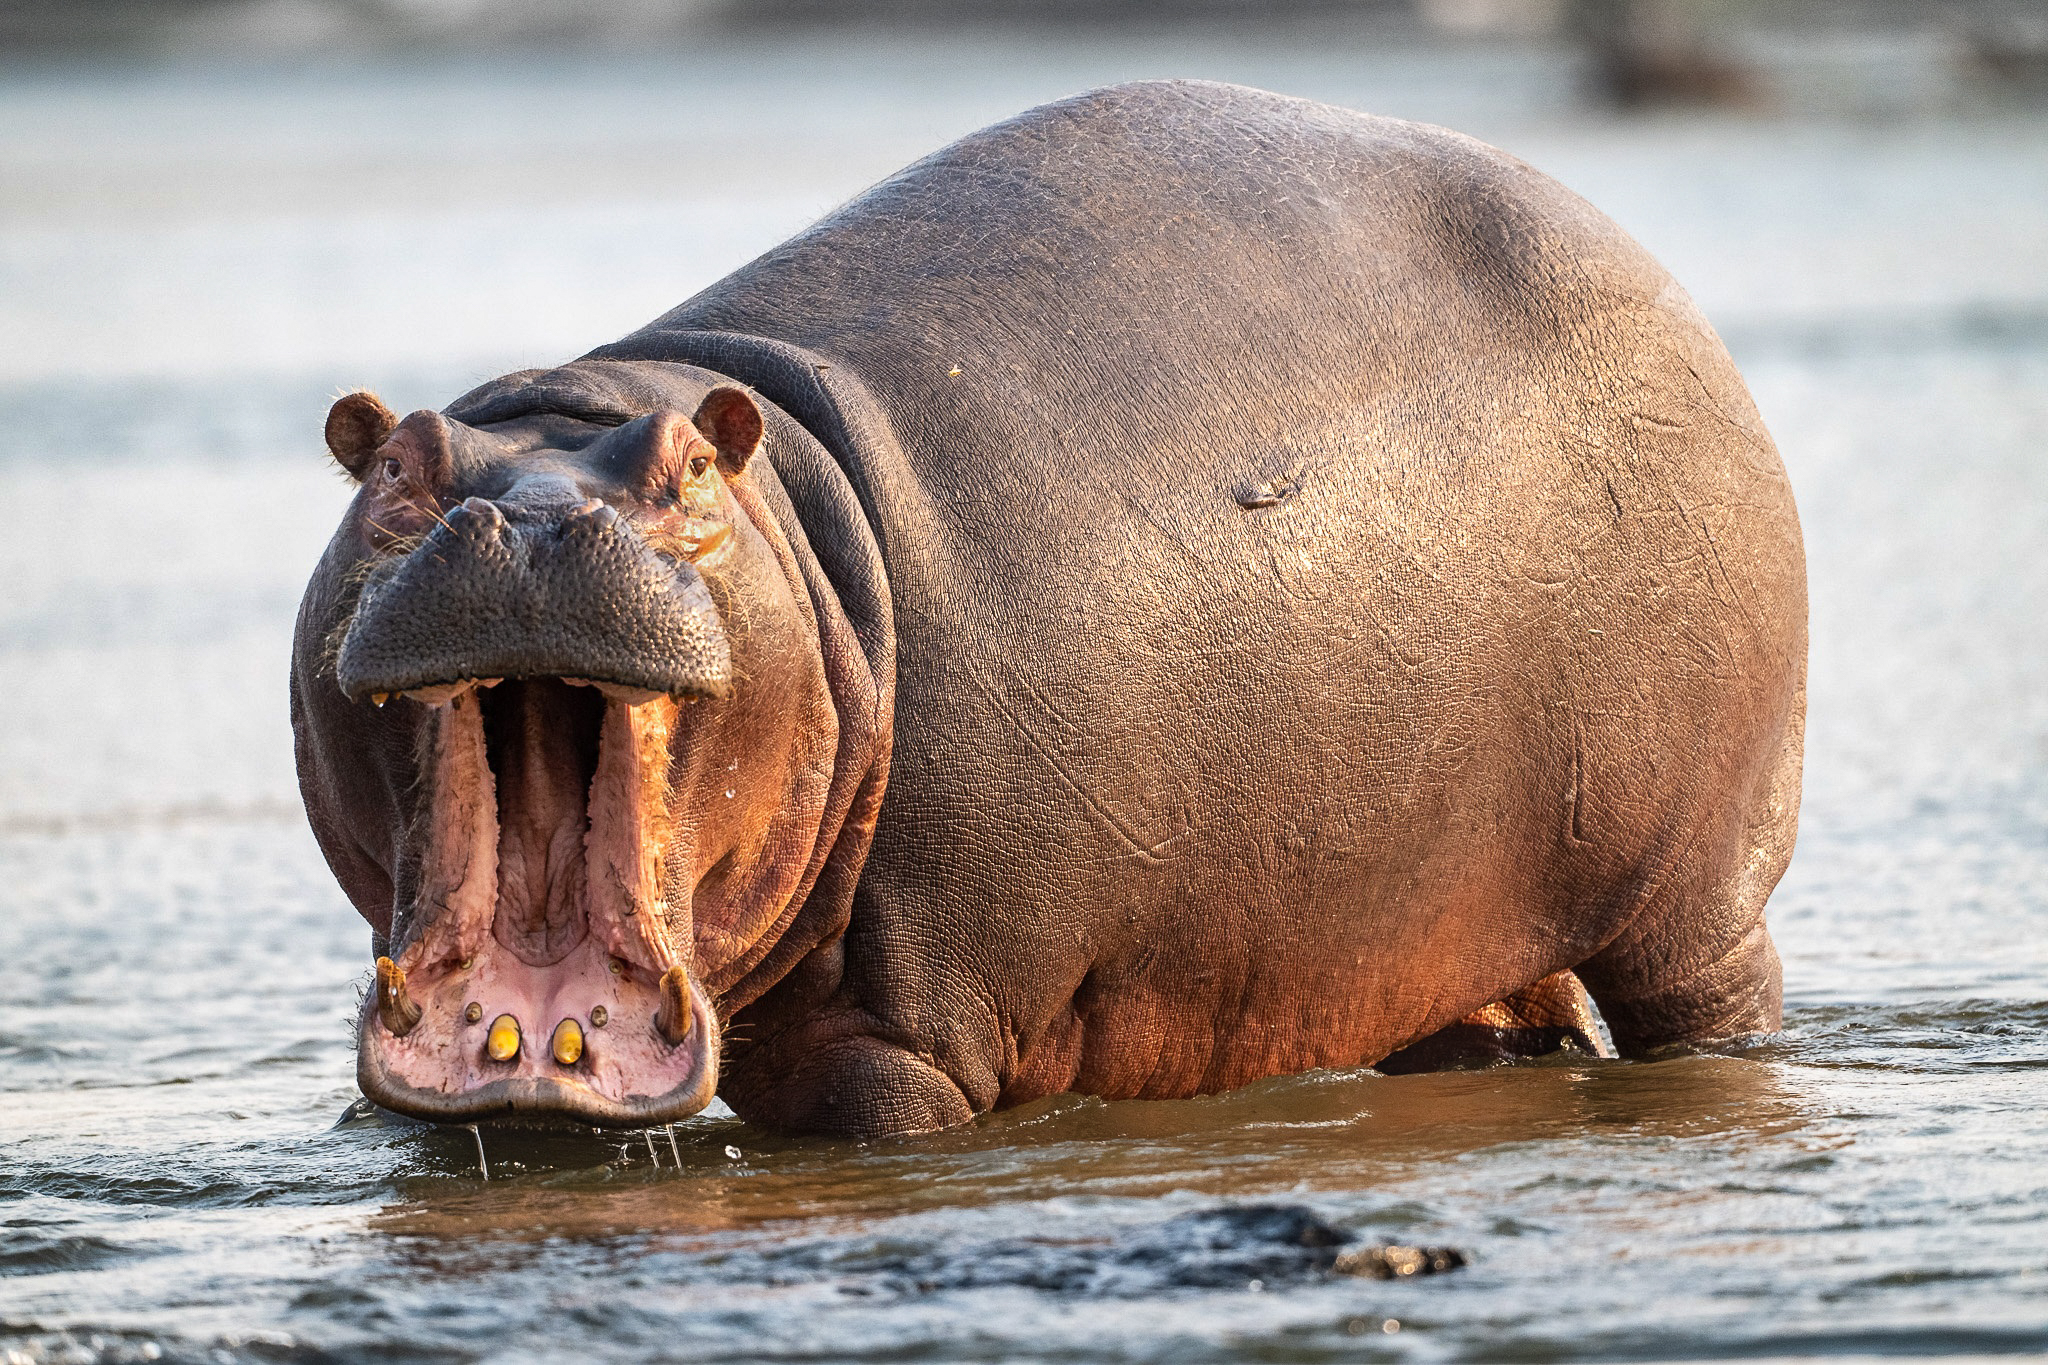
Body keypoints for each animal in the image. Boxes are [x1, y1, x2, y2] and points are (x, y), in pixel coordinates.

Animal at [292, 80, 1805, 1137]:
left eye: (689, 477)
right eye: (396, 468)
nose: (535, 520)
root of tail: (1645, 263)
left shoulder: (898, 1046)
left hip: (1696, 895)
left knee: (1711, 995)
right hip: (1423, 921)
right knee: (1488, 1022)